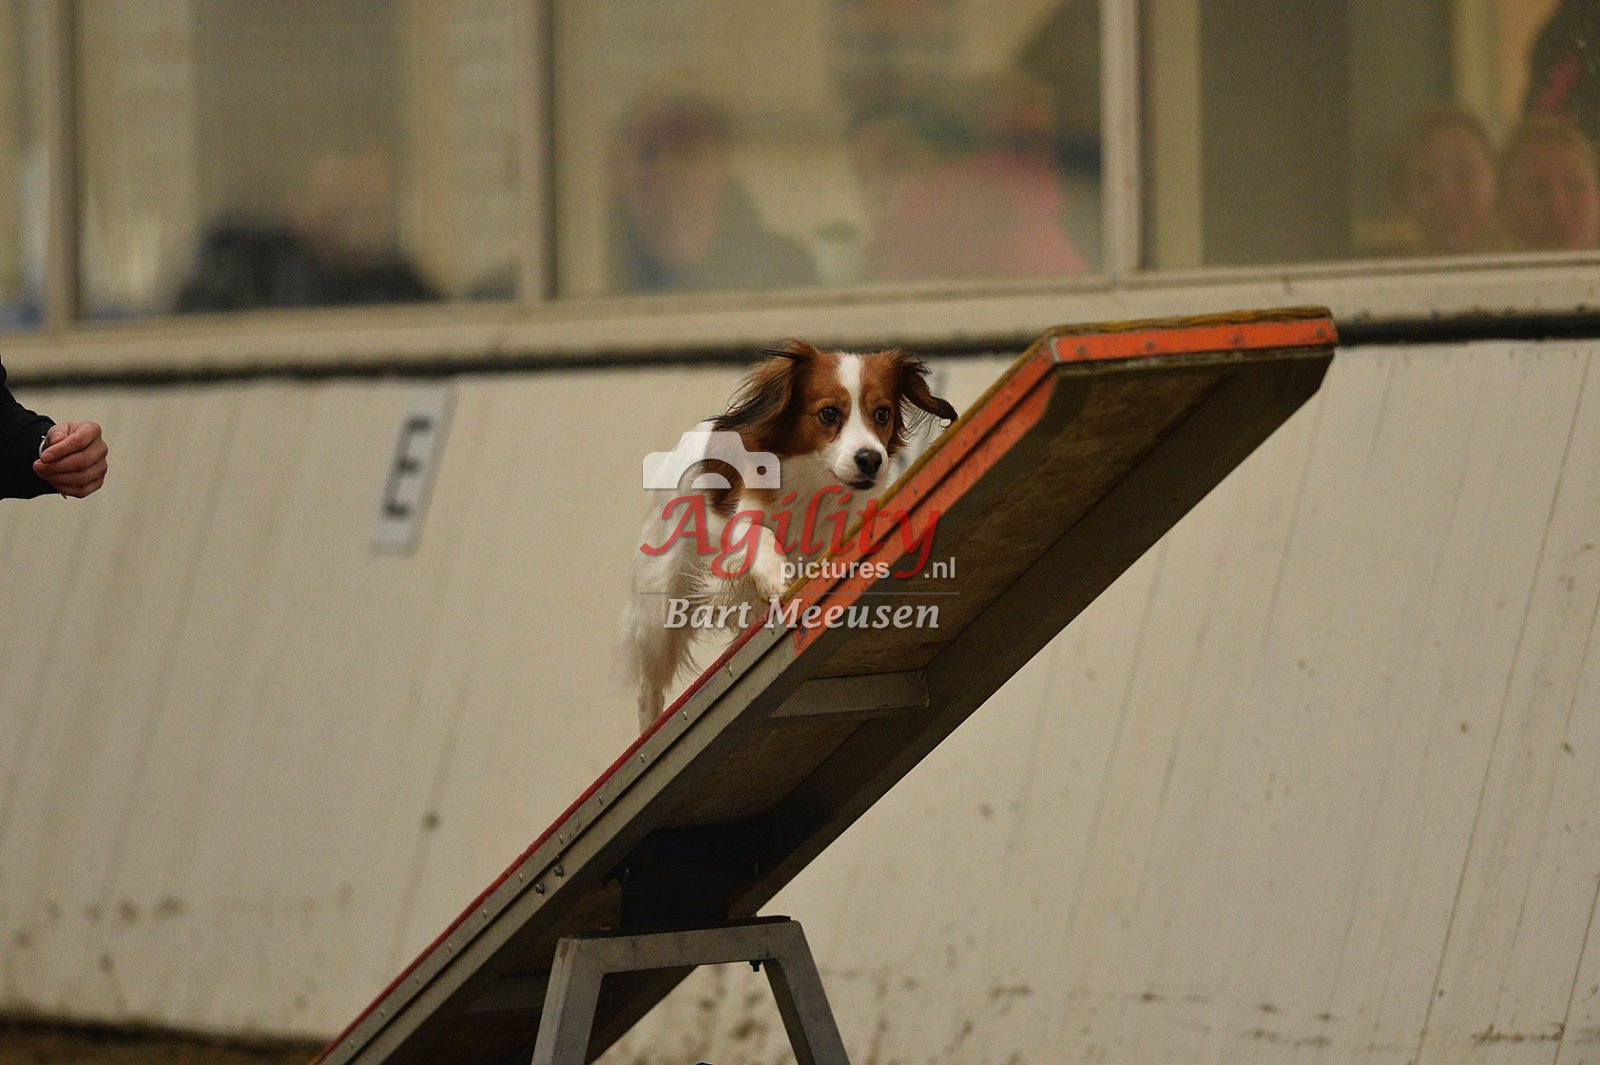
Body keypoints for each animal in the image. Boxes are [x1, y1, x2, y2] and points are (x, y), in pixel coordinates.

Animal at [620, 340, 957, 730]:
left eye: (882, 414)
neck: (814, 484)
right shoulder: (741, 518)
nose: (871, 459)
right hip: (660, 607)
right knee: (649, 686)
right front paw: (776, 577)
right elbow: (758, 536)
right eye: (829, 413)